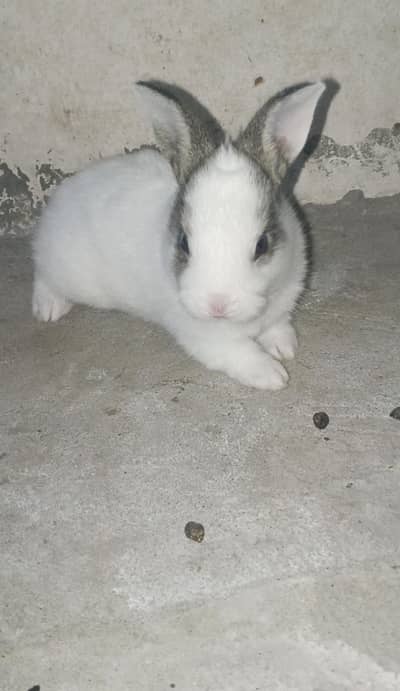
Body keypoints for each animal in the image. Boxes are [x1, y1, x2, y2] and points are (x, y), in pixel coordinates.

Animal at [32, 78, 326, 390]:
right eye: (184, 242)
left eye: (262, 244)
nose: (217, 305)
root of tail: (58, 201)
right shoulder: (209, 340)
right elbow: (240, 354)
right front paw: (273, 375)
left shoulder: (281, 304)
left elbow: (277, 326)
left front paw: (285, 347)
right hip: (70, 275)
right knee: (43, 273)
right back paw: (48, 309)